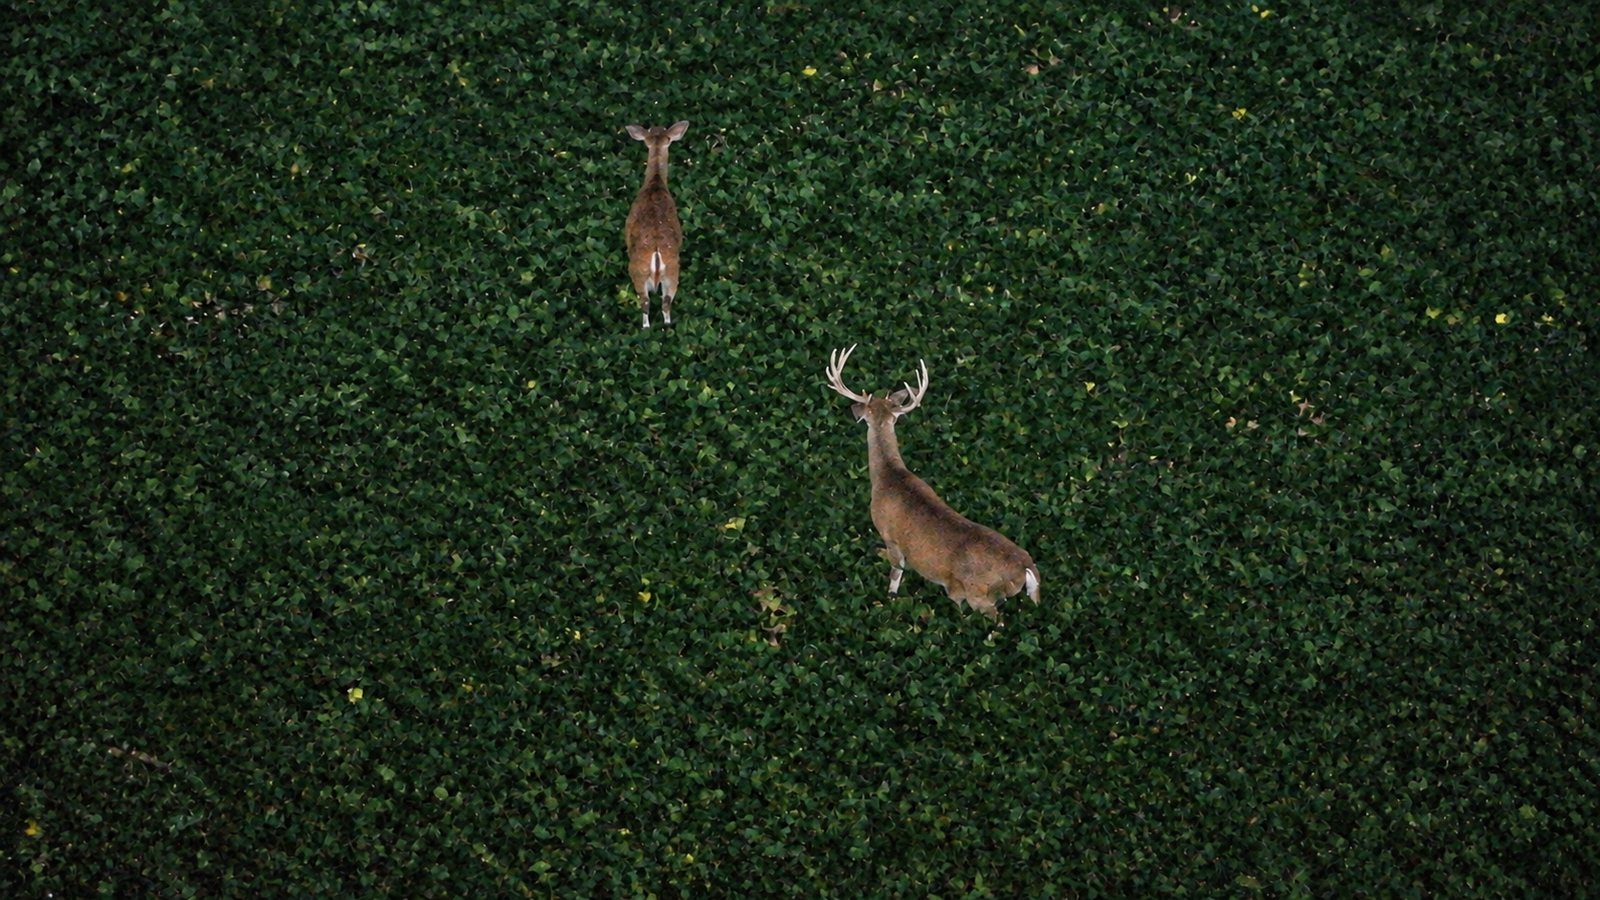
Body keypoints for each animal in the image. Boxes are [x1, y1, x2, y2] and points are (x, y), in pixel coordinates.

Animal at [624, 121, 689, 328]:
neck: (655, 183)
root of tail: (657, 256)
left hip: (638, 270)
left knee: (645, 302)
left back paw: (645, 327)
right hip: (673, 271)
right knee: (666, 302)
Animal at [826, 345, 1040, 620]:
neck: (888, 476)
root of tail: (1026, 567)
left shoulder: (889, 534)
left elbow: (896, 573)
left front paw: (889, 598)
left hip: (980, 594)